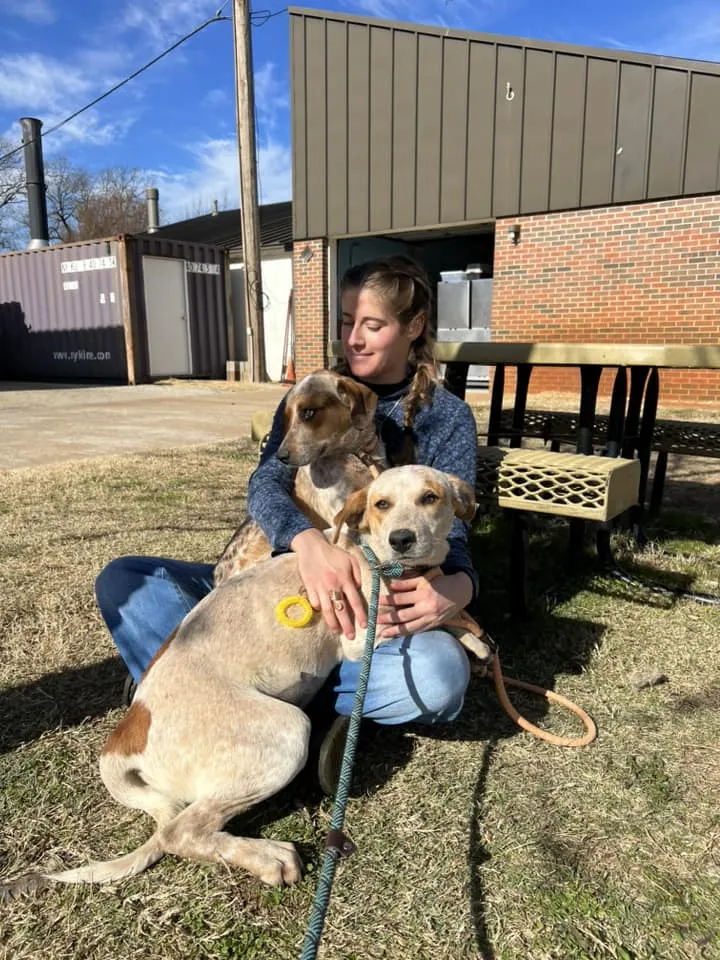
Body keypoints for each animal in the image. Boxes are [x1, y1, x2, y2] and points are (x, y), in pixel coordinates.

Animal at [0, 466, 490, 900]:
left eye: (430, 497)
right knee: (180, 832)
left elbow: (447, 609)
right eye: (380, 504)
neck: (381, 565)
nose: (401, 539)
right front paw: (472, 634)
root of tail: (127, 733)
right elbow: (445, 618)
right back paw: (267, 856)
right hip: (286, 732)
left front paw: (474, 634)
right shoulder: (361, 636)